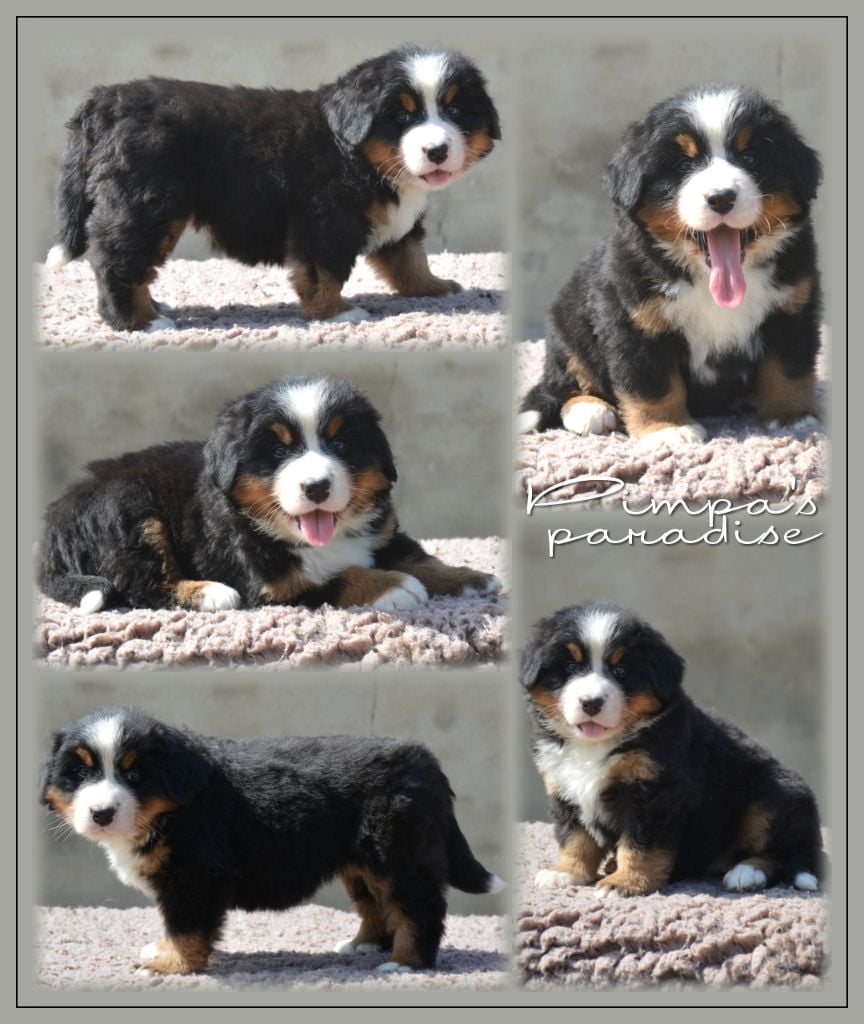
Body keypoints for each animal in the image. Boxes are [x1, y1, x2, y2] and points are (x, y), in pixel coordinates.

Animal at [38, 375, 501, 612]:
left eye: (341, 445)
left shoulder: (383, 530)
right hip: (128, 507)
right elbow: (334, 577)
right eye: (279, 451)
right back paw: (209, 592)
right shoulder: (271, 584)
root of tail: (52, 522)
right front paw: (395, 586)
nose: (316, 487)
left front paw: (469, 577)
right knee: (139, 584)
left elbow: (419, 557)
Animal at [40, 707, 505, 974]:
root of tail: (425, 760)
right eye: (80, 774)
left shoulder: (195, 874)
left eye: (135, 774)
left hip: (399, 854)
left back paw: (405, 965)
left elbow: (186, 925)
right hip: (363, 863)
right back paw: (362, 946)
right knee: (378, 905)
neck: (174, 808)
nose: (102, 813)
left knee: (419, 908)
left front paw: (173, 962)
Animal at [45, 46, 500, 331]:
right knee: (116, 260)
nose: (437, 150)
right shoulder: (325, 218)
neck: (358, 154)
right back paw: (137, 320)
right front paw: (334, 313)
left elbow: (409, 256)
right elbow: (324, 271)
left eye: (455, 110)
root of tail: (105, 101)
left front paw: (433, 287)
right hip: (146, 205)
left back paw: (152, 306)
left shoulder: (397, 221)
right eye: (402, 117)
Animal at [520, 86, 822, 448]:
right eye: (682, 165)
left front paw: (792, 415)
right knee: (567, 380)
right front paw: (667, 428)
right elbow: (652, 382)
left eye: (750, 158)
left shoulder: (793, 307)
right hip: (568, 329)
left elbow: (788, 368)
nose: (721, 197)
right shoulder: (634, 320)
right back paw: (589, 409)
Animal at [521, 601, 823, 896]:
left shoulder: (653, 792)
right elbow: (574, 838)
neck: (593, 747)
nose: (591, 702)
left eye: (621, 671)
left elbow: (640, 845)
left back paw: (747, 873)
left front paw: (625, 882)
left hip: (770, 796)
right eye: (571, 668)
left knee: (786, 854)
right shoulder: (564, 787)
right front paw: (566, 873)